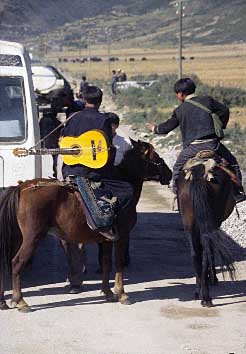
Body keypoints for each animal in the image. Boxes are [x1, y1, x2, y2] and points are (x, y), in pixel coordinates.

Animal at [0, 140, 172, 312]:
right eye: (156, 157)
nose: (169, 173)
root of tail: (21, 188)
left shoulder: (107, 239)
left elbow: (106, 262)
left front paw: (108, 292)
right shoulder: (122, 236)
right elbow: (119, 263)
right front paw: (121, 293)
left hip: (17, 237)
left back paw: (4, 301)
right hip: (32, 238)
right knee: (16, 263)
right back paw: (20, 300)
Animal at [177, 162, 236, 306]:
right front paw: (213, 278)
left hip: (189, 222)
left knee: (195, 253)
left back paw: (200, 292)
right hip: (213, 220)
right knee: (207, 249)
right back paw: (206, 296)